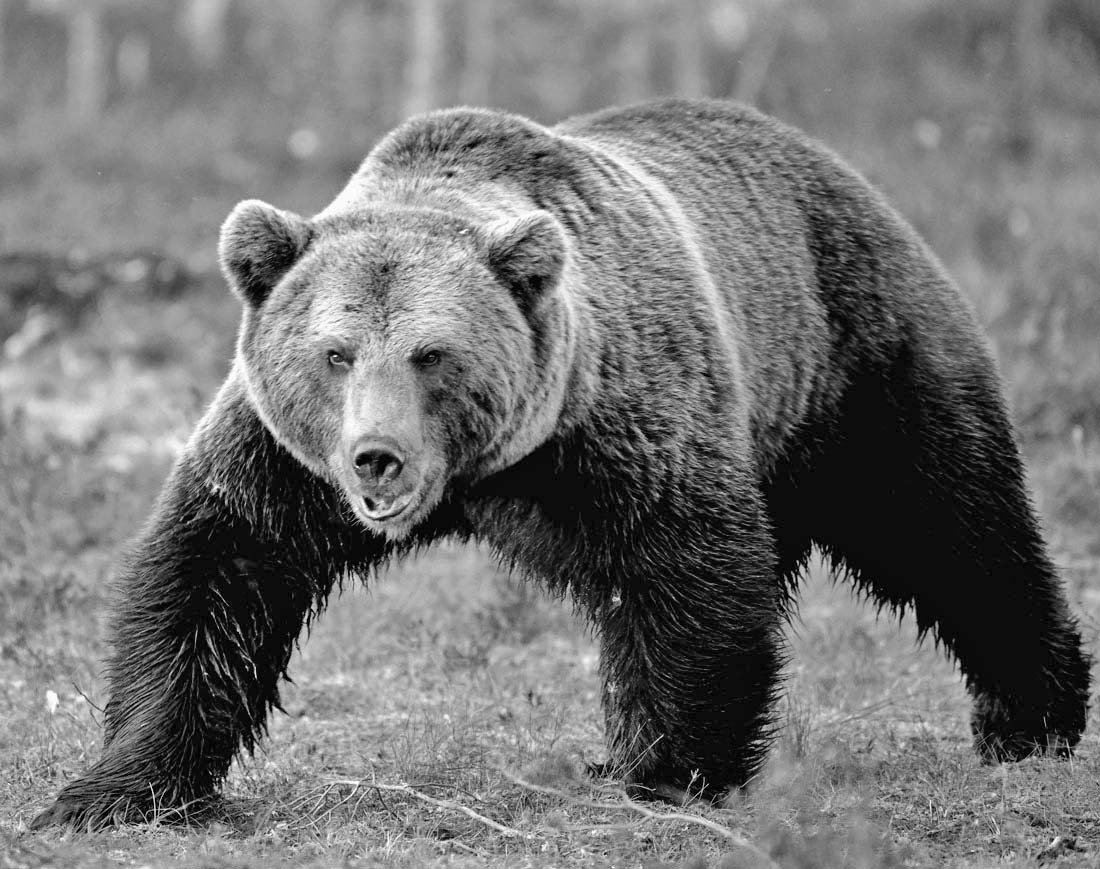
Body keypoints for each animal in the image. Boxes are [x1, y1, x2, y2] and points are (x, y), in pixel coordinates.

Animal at [33, 98, 1090, 828]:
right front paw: (112, 789)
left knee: (952, 524)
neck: (485, 477)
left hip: (855, 358)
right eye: (335, 352)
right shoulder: (284, 465)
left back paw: (1031, 716)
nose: (377, 460)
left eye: (432, 353)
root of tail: (829, 162)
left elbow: (685, 574)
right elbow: (210, 576)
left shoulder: (618, 428)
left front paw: (668, 766)